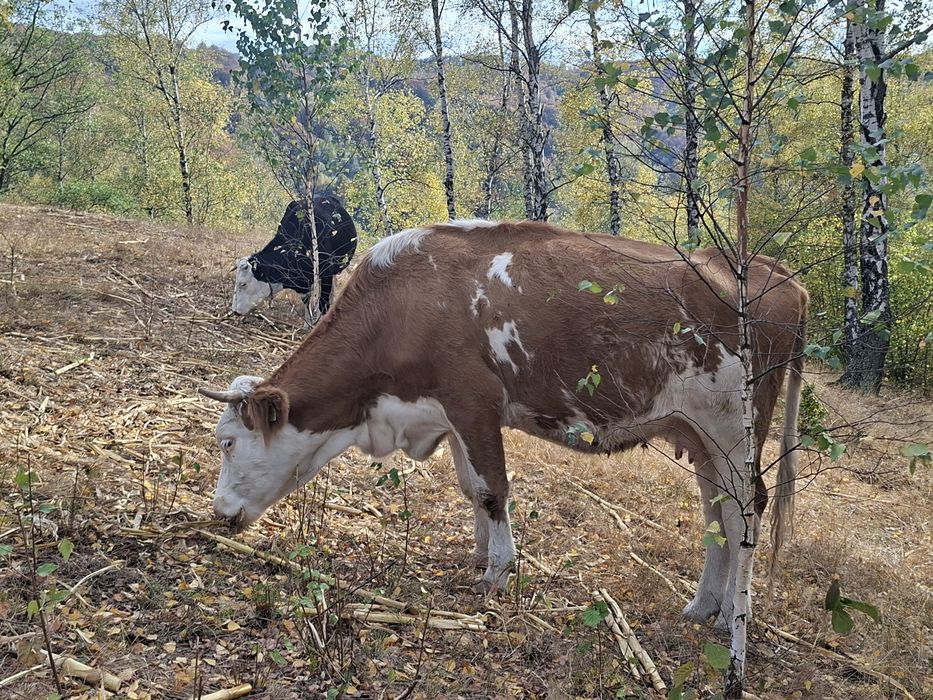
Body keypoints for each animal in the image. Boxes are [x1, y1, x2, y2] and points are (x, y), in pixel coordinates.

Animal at [201, 220, 807, 629]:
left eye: (228, 442)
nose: (220, 512)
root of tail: (774, 272)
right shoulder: (445, 413)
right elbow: (472, 488)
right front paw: (477, 556)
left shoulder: (473, 404)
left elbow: (494, 489)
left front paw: (497, 570)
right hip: (701, 439)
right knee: (717, 516)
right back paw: (703, 606)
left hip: (735, 430)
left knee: (745, 511)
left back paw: (733, 618)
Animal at [232, 196, 357, 326]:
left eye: (243, 284)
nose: (235, 311)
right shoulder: (302, 282)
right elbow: (306, 300)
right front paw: (307, 323)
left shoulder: (326, 272)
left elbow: (322, 302)